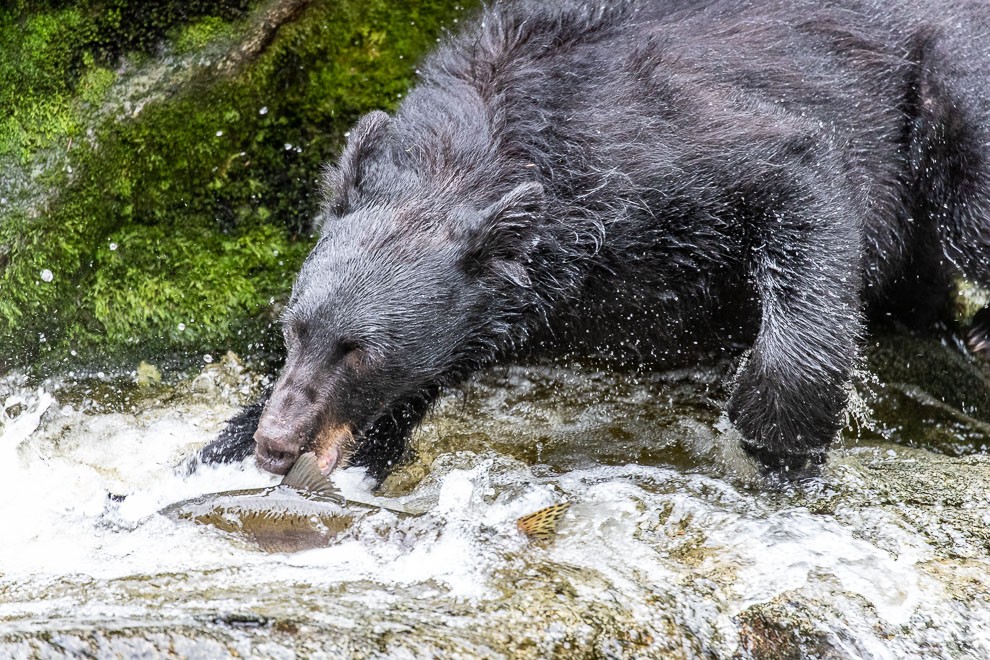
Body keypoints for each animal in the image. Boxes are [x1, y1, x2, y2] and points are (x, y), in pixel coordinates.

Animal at [202, 0, 990, 480]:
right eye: (293, 329)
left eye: (362, 350)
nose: (277, 444)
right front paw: (216, 448)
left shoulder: (651, 143)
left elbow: (797, 167)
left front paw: (777, 431)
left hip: (946, 87)